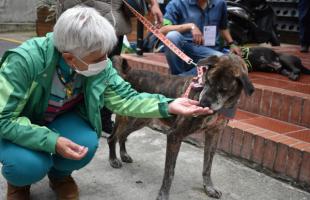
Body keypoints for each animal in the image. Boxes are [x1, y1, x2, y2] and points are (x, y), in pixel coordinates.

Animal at [108, 54, 253, 200]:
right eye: (207, 81)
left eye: (223, 89)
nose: (202, 103)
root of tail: (129, 72)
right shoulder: (175, 135)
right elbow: (169, 171)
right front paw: (163, 194)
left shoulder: (213, 135)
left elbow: (207, 166)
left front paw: (209, 188)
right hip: (126, 117)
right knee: (113, 137)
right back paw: (114, 159)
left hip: (140, 120)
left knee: (123, 135)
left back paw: (124, 154)